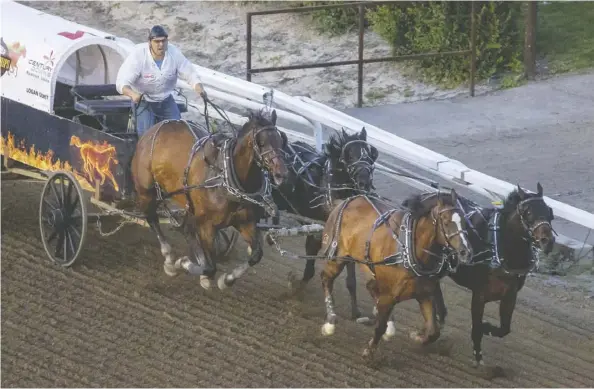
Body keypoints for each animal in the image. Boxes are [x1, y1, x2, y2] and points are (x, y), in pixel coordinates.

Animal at [131, 108, 288, 288]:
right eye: (260, 142)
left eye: (281, 140)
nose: (282, 174)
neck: (226, 180)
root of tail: (156, 127)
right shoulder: (206, 225)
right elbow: (210, 268)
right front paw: (182, 263)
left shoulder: (245, 222)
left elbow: (256, 254)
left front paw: (227, 279)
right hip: (146, 191)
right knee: (152, 218)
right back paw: (169, 258)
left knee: (185, 228)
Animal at [270, 126, 376, 316]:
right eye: (349, 154)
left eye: (369, 154)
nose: (365, 181)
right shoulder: (317, 234)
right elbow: (310, 269)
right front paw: (295, 290)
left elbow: (351, 279)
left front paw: (356, 312)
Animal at [316, 189, 470, 360]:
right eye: (446, 221)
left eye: (464, 222)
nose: (465, 251)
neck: (408, 248)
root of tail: (346, 201)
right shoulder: (389, 294)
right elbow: (380, 326)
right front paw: (369, 351)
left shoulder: (424, 294)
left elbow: (433, 331)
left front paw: (417, 337)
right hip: (337, 257)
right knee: (326, 279)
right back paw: (330, 322)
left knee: (369, 287)